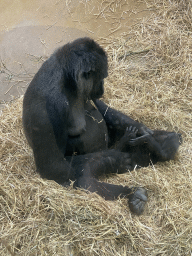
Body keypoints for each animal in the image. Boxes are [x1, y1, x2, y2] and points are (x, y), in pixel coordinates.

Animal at [22, 37, 182, 215]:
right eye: (101, 77)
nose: (103, 88)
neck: (67, 80)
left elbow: (101, 108)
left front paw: (142, 129)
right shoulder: (49, 108)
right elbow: (54, 167)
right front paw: (114, 159)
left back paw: (158, 146)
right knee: (85, 180)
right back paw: (132, 191)